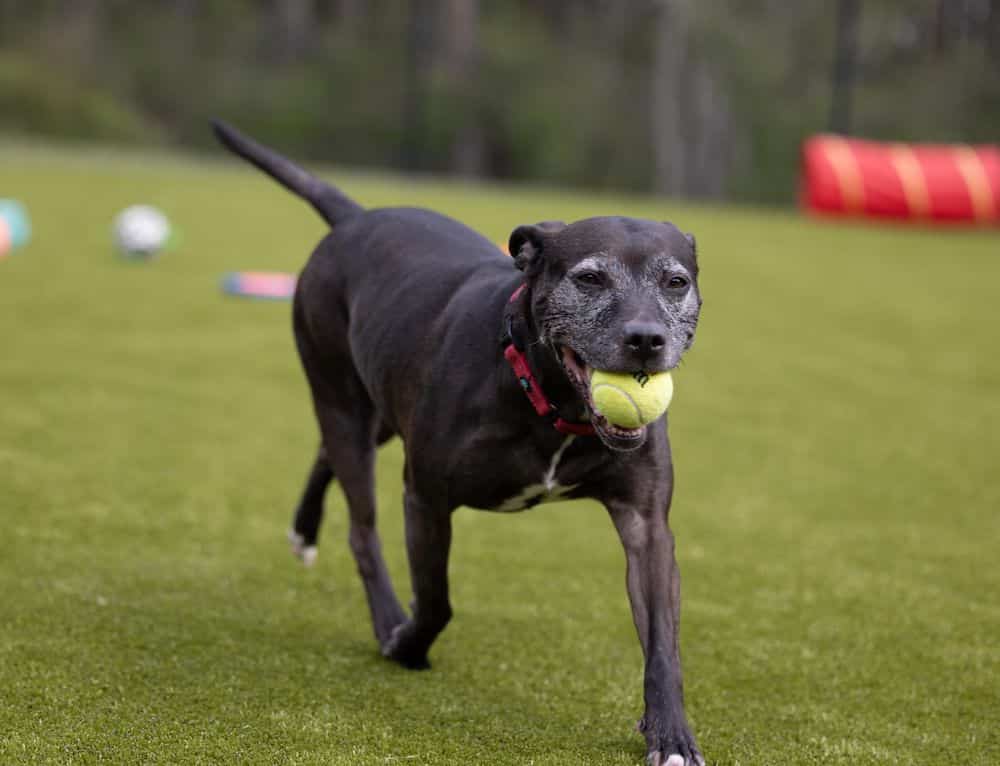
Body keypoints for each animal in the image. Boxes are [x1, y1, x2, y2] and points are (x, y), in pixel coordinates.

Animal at [216, 123, 708, 764]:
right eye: (590, 277)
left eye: (675, 282)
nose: (646, 339)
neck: (551, 402)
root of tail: (355, 218)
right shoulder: (426, 497)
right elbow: (437, 601)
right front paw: (407, 642)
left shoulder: (646, 525)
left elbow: (662, 644)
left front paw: (670, 733)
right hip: (342, 402)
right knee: (361, 526)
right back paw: (385, 619)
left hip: (378, 407)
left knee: (328, 455)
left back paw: (305, 529)